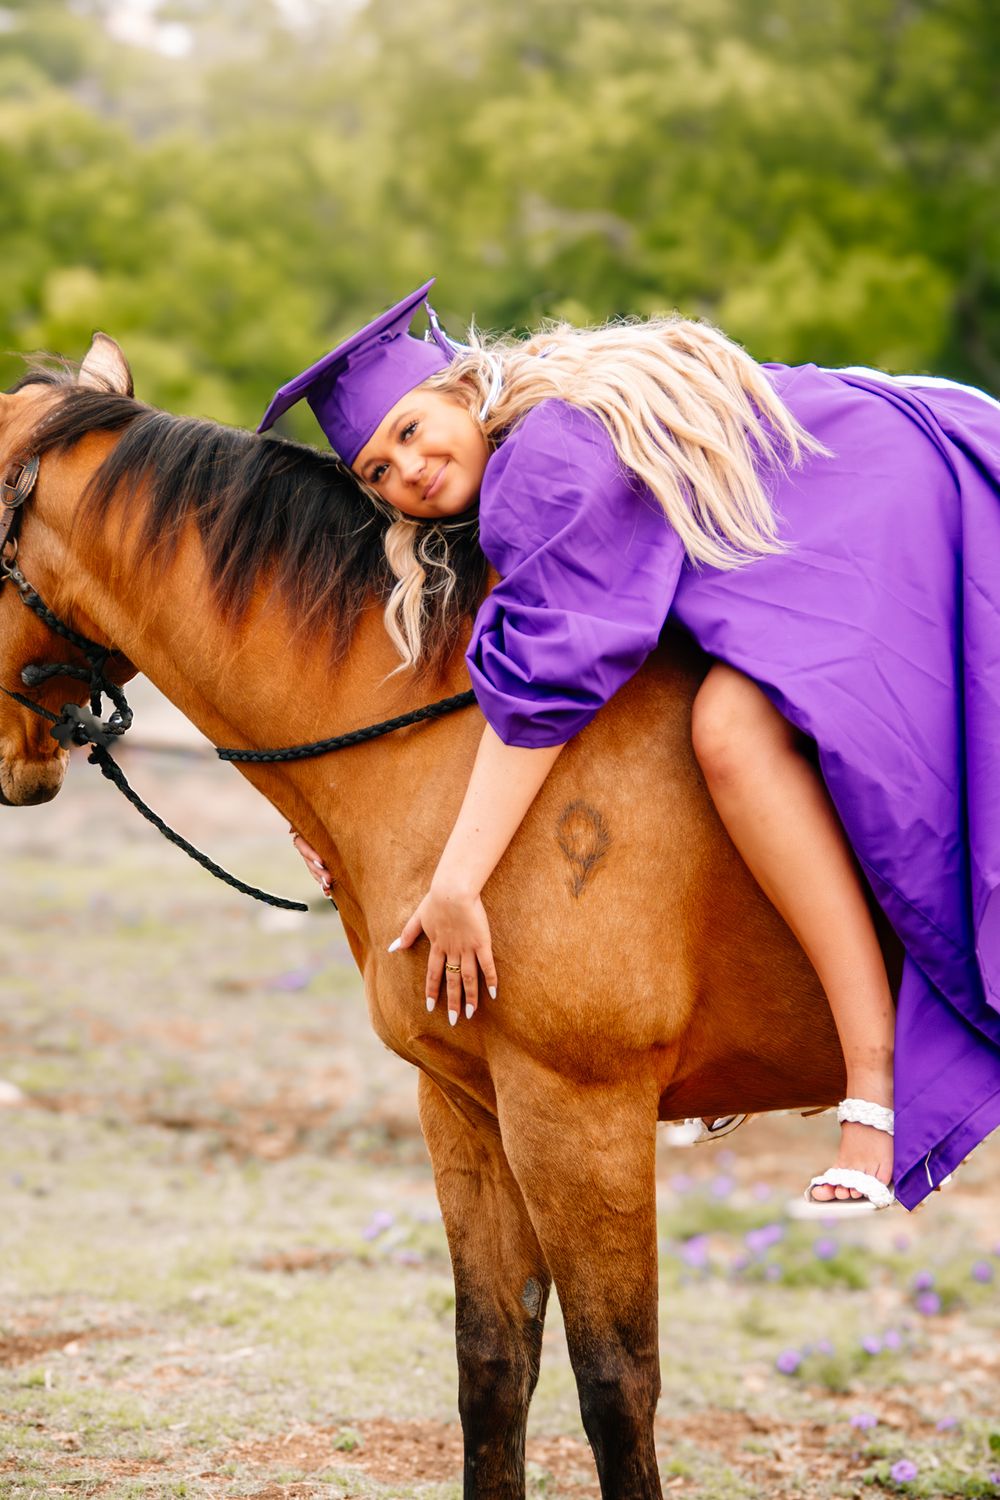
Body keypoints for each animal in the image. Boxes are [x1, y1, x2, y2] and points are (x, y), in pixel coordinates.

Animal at [0, 335, 903, 1500]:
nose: (19, 769)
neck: (458, 742)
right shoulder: (467, 1106)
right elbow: (493, 1362)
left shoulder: (581, 1118)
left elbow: (616, 1385)